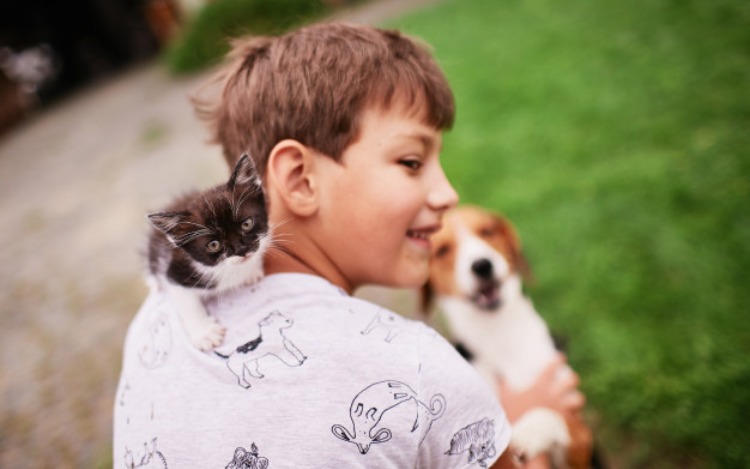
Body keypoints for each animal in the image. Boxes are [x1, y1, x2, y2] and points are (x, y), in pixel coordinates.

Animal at [145, 155, 268, 350]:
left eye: (247, 224)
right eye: (213, 245)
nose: (241, 250)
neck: (227, 269)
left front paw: (252, 271)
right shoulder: (176, 272)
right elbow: (187, 302)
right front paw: (205, 333)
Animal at [424, 205, 592, 468]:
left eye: (487, 231)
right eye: (442, 250)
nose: (482, 265)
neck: (498, 332)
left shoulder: (581, 437)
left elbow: (552, 416)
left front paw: (527, 433)